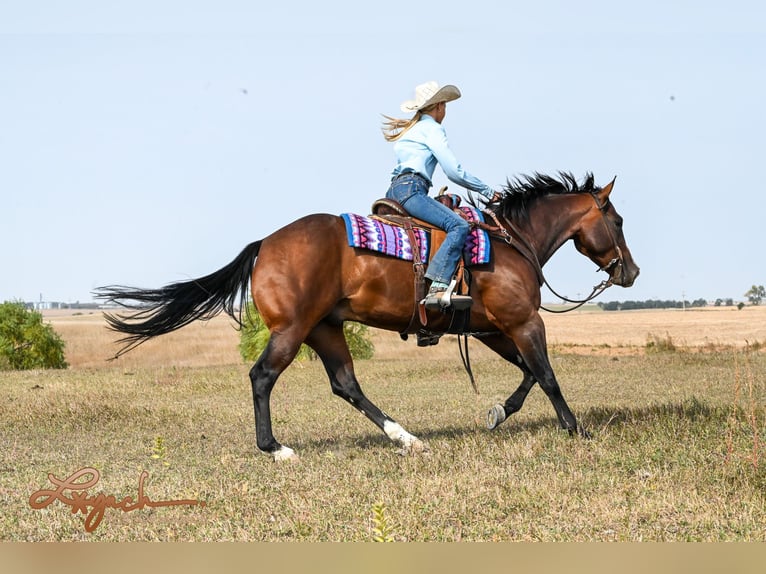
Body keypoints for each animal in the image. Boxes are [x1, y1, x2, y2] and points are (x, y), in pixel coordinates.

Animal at [99, 171, 644, 464]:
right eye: (617, 221)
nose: (631, 271)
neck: (512, 242)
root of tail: (264, 245)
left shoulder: (491, 328)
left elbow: (529, 372)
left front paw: (498, 412)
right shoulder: (525, 321)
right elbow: (546, 374)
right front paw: (576, 429)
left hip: (325, 330)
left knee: (346, 384)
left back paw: (407, 438)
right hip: (292, 331)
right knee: (262, 376)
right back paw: (275, 448)